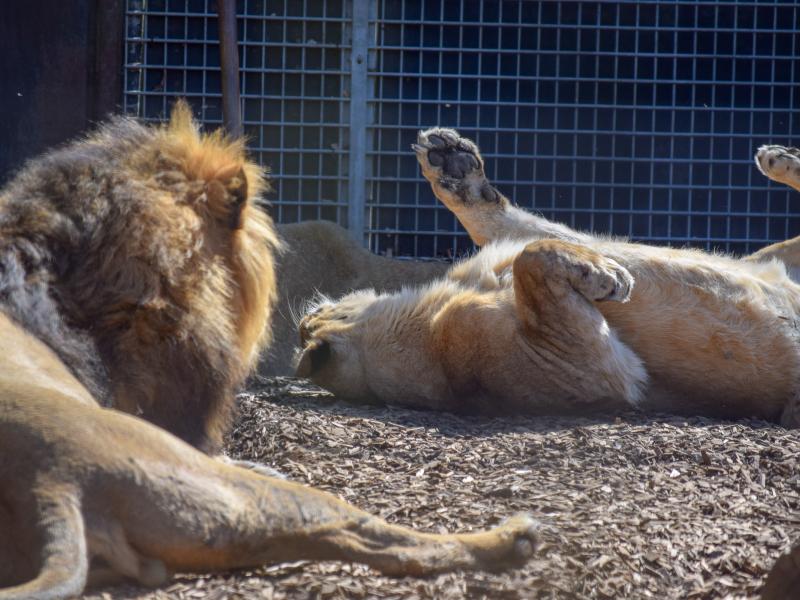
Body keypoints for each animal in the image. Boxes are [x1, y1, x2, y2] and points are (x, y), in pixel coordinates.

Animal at [296, 130, 800, 427]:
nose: (305, 316)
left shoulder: (512, 245)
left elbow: (514, 231)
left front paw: (451, 163)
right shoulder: (597, 372)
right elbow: (532, 257)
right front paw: (605, 276)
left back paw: (780, 158)